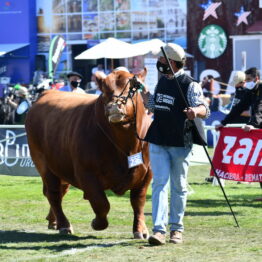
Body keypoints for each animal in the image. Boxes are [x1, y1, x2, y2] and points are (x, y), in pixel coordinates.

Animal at [25, 68, 152, 238]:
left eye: (132, 89)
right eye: (104, 91)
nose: (113, 107)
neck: (126, 146)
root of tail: (47, 93)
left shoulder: (147, 172)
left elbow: (138, 201)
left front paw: (140, 230)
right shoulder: (85, 172)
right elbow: (101, 203)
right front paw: (97, 223)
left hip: (62, 168)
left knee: (58, 192)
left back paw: (53, 221)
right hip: (43, 163)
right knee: (53, 193)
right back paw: (64, 225)